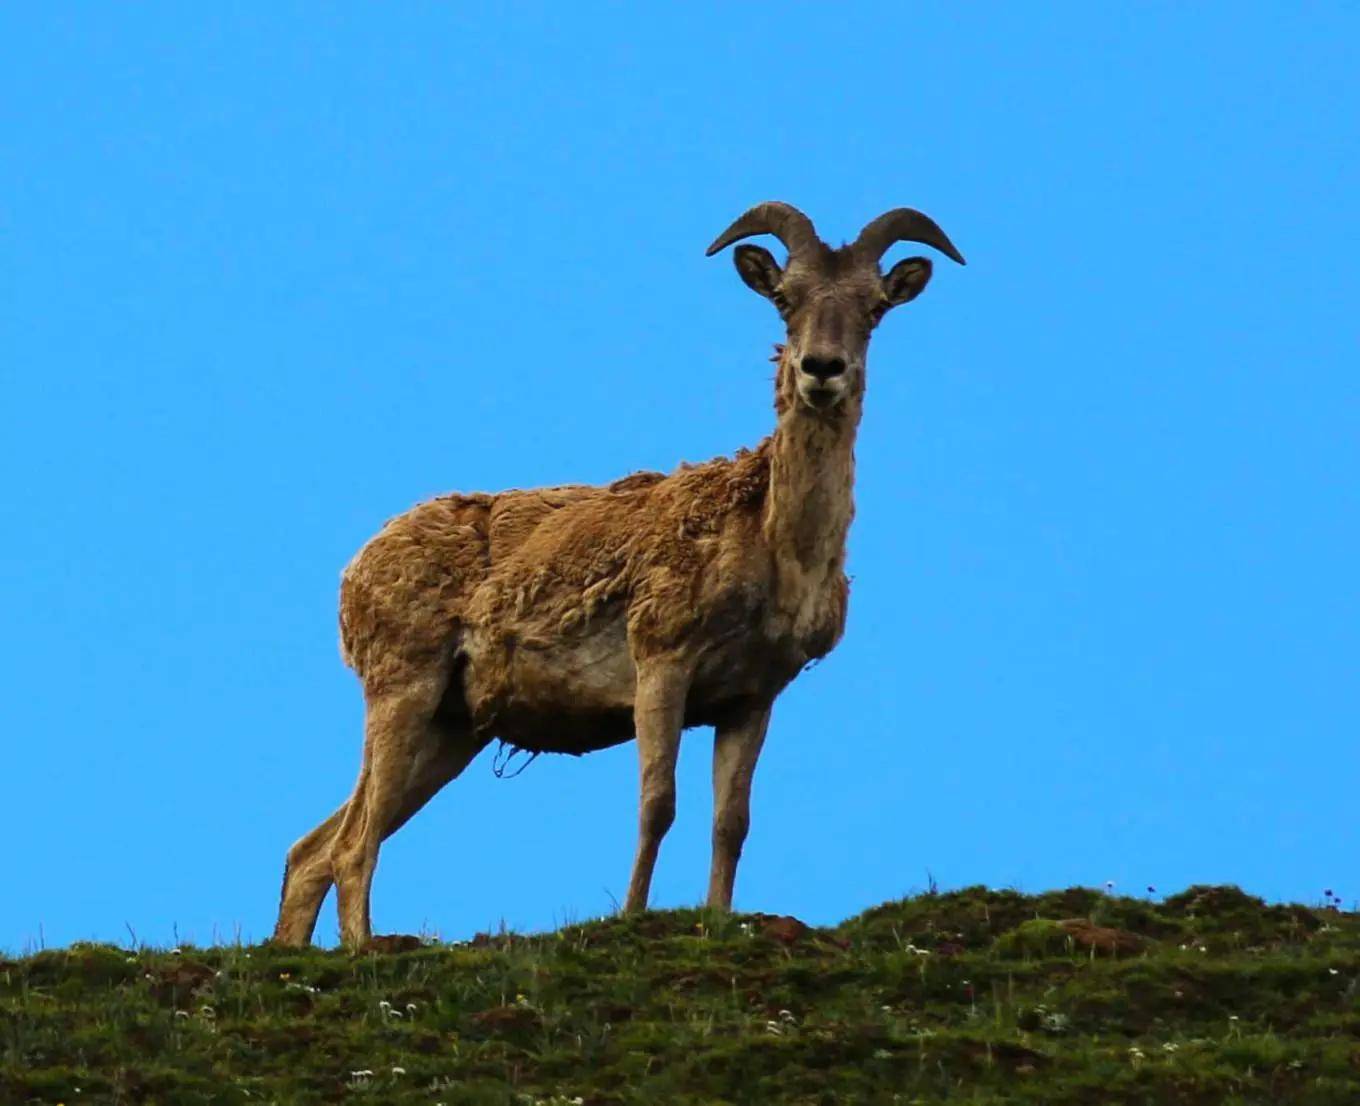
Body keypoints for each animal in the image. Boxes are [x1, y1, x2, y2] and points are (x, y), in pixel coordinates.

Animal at [270, 202, 962, 946]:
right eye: (785, 298)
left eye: (873, 307)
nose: (822, 369)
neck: (773, 545)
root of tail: (356, 574)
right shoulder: (662, 661)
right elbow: (658, 803)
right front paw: (631, 914)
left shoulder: (750, 698)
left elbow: (731, 822)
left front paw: (717, 918)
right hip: (405, 688)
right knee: (352, 845)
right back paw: (365, 948)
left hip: (453, 730)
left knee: (314, 849)